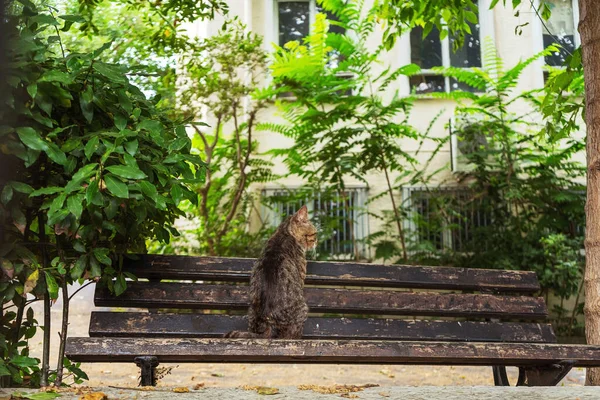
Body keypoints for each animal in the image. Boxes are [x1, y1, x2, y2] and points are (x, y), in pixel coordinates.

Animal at [225, 205, 318, 340]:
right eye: (315, 234)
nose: (317, 241)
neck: (284, 233)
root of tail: (268, 325)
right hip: (303, 308)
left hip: (251, 309)